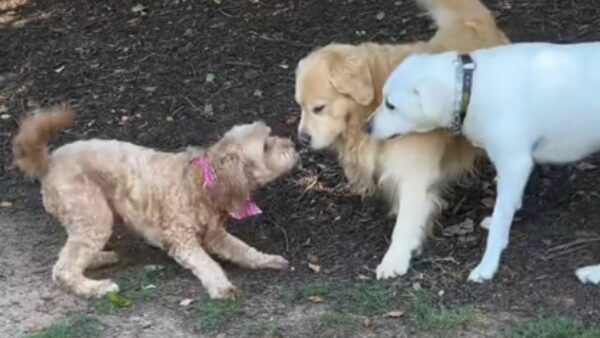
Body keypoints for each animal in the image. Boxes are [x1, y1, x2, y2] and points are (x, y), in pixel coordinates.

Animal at [11, 105, 298, 298]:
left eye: (270, 136)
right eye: (265, 147)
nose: (293, 144)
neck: (203, 180)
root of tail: (48, 162)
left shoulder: (216, 235)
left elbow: (243, 250)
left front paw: (267, 260)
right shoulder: (181, 240)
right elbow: (208, 264)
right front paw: (221, 287)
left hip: (89, 220)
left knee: (72, 255)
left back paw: (100, 259)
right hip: (94, 217)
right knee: (64, 269)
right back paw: (97, 287)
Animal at [368, 42, 600, 284]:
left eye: (391, 105)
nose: (367, 127)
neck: (471, 87)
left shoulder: (515, 163)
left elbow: (499, 223)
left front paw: (487, 266)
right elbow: (506, 207)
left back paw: (593, 274)